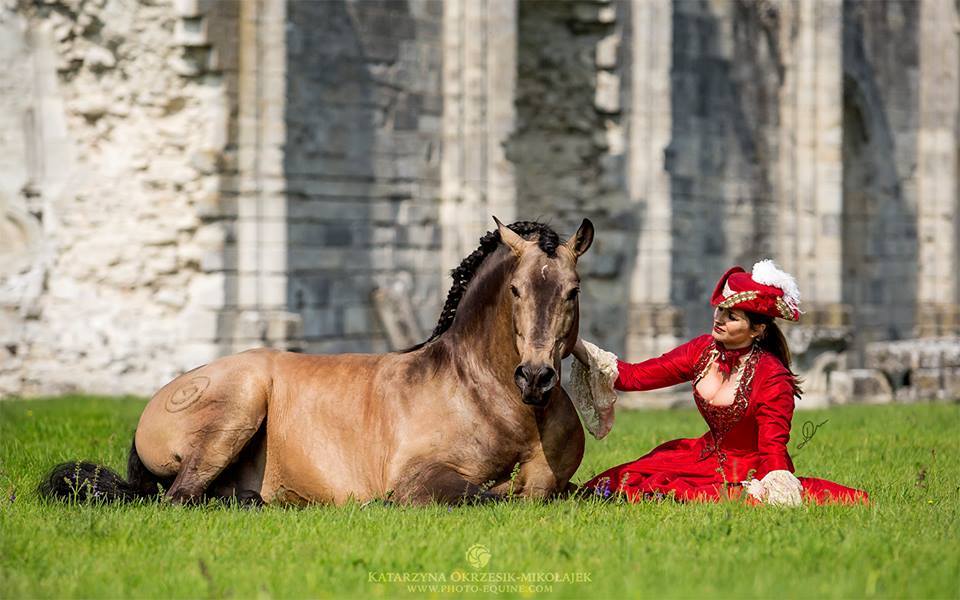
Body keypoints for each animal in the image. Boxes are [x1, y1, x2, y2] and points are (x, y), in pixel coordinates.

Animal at [41, 218, 596, 504]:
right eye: (516, 289)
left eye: (573, 291)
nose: (535, 378)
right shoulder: (419, 479)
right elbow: (494, 495)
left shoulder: (555, 482)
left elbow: (567, 492)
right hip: (239, 404)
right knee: (180, 497)